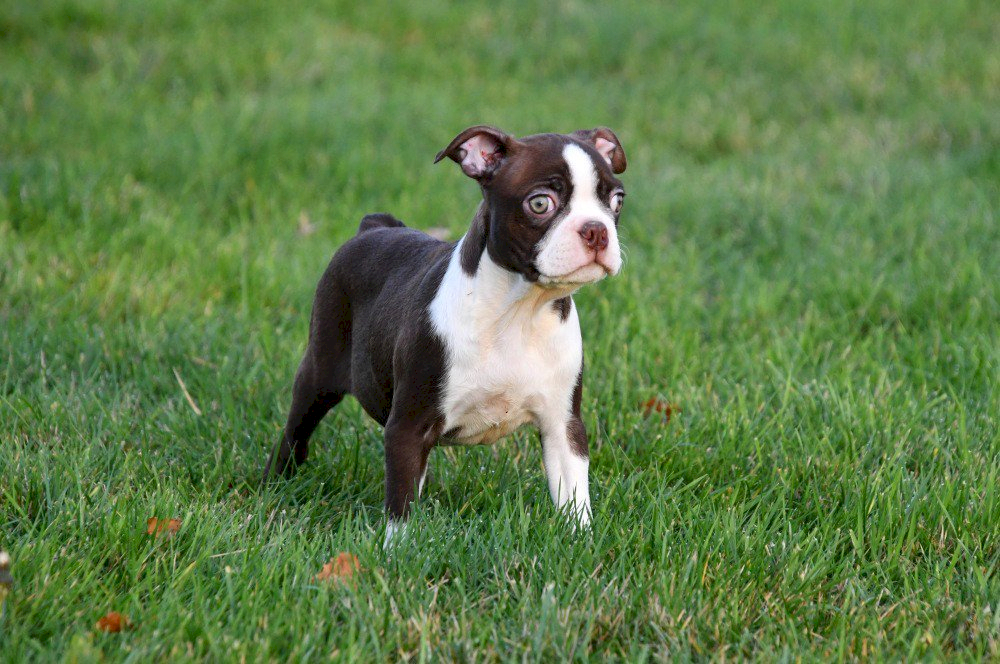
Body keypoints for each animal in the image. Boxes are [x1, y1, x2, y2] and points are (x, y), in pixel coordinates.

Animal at [262, 125, 627, 543]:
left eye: (616, 201)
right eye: (540, 204)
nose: (596, 230)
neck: (519, 311)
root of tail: (376, 226)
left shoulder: (563, 425)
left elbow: (573, 493)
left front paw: (580, 539)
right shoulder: (407, 425)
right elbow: (400, 504)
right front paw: (397, 549)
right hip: (320, 367)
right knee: (297, 430)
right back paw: (275, 484)